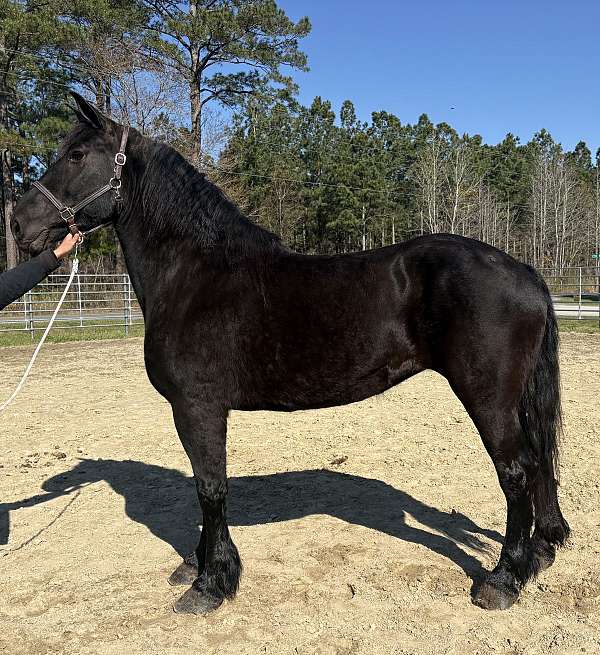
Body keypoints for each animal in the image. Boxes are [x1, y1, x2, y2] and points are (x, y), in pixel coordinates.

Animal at [12, 92, 570, 615]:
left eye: (77, 154)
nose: (19, 223)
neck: (196, 274)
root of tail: (525, 272)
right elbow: (205, 484)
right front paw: (197, 563)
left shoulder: (197, 407)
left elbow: (210, 488)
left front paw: (210, 584)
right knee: (539, 462)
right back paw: (540, 554)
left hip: (488, 398)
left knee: (517, 471)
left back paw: (503, 580)